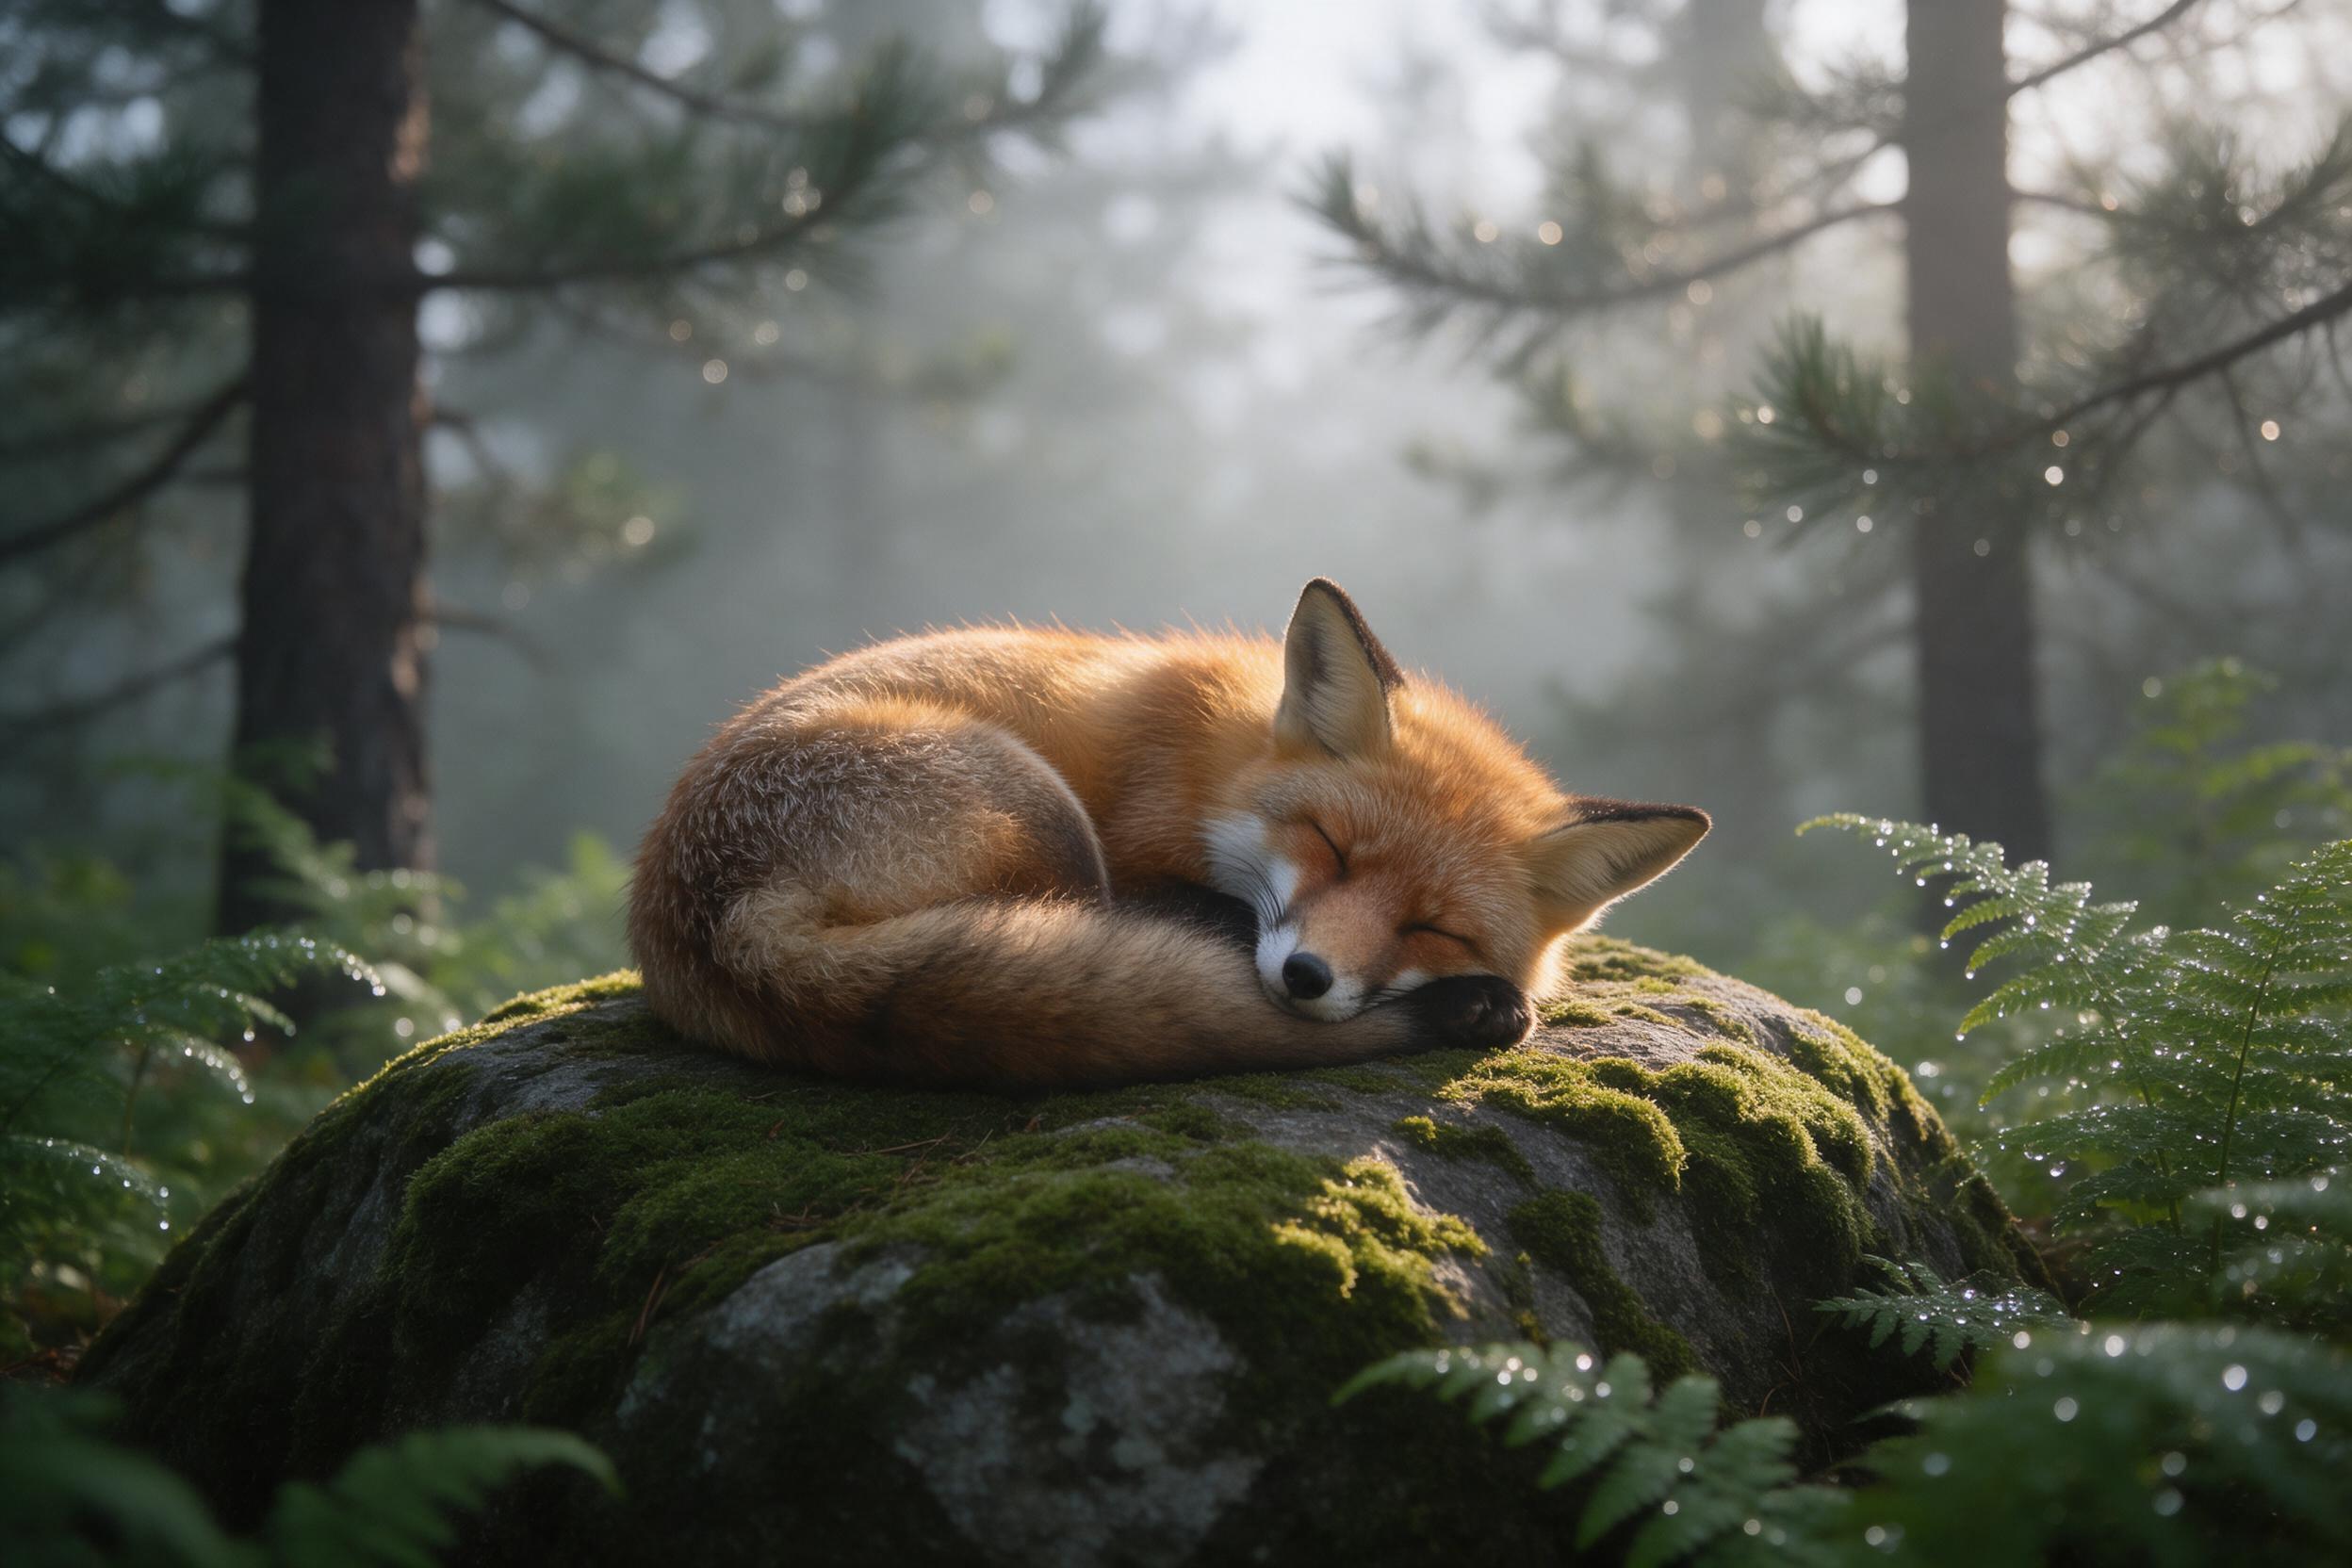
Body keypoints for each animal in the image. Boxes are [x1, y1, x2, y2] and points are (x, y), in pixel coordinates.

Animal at [627, 579, 1709, 1088]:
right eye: (1329, 846)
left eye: (1432, 926)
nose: (1308, 979)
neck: (1212, 766)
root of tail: (718, 916)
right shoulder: (1138, 854)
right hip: (1045, 814)